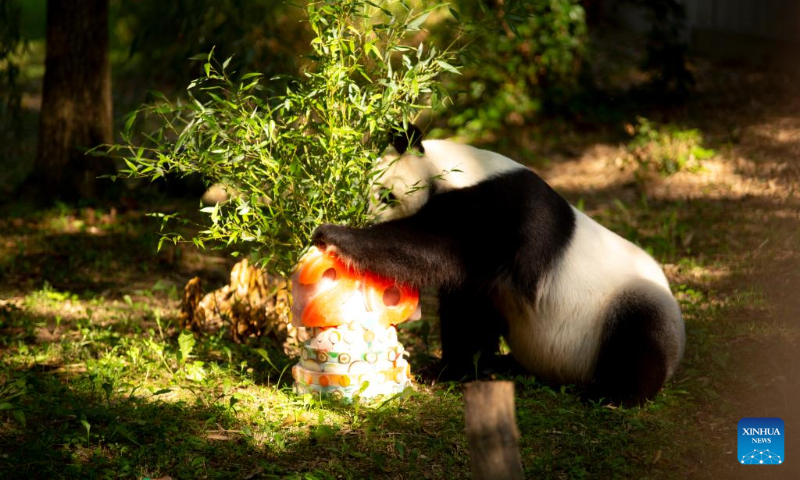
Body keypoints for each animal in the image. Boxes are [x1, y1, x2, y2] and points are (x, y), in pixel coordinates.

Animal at [312, 126, 685, 403]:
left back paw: (612, 394)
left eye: (387, 195)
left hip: (630, 303)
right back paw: (506, 365)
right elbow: (467, 309)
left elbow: (434, 248)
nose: (364, 217)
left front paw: (335, 236)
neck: (459, 169)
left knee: (639, 337)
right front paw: (453, 369)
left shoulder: (502, 213)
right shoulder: (486, 276)